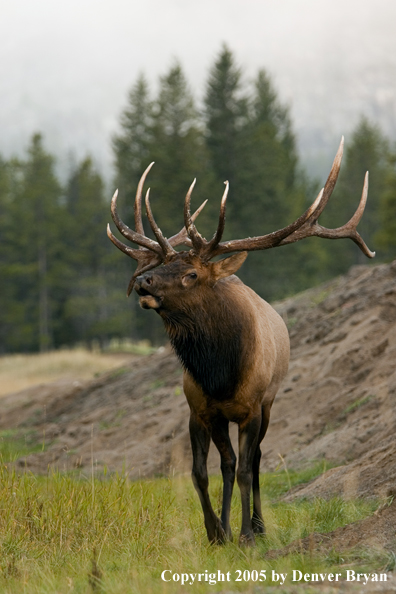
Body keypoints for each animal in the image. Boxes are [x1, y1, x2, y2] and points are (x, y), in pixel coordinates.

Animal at [106, 136, 374, 544]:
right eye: (163, 265)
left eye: (191, 274)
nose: (143, 281)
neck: (221, 375)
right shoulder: (202, 410)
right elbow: (209, 470)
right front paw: (218, 530)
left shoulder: (252, 408)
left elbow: (247, 467)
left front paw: (247, 532)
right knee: (226, 463)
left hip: (269, 402)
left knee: (257, 458)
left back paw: (258, 527)